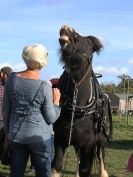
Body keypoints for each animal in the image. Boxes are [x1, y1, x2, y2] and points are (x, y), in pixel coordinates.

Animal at [51, 24, 111, 177]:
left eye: (88, 43)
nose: (66, 27)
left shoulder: (88, 145)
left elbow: (86, 169)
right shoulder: (59, 140)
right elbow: (57, 166)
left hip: (100, 140)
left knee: (101, 156)